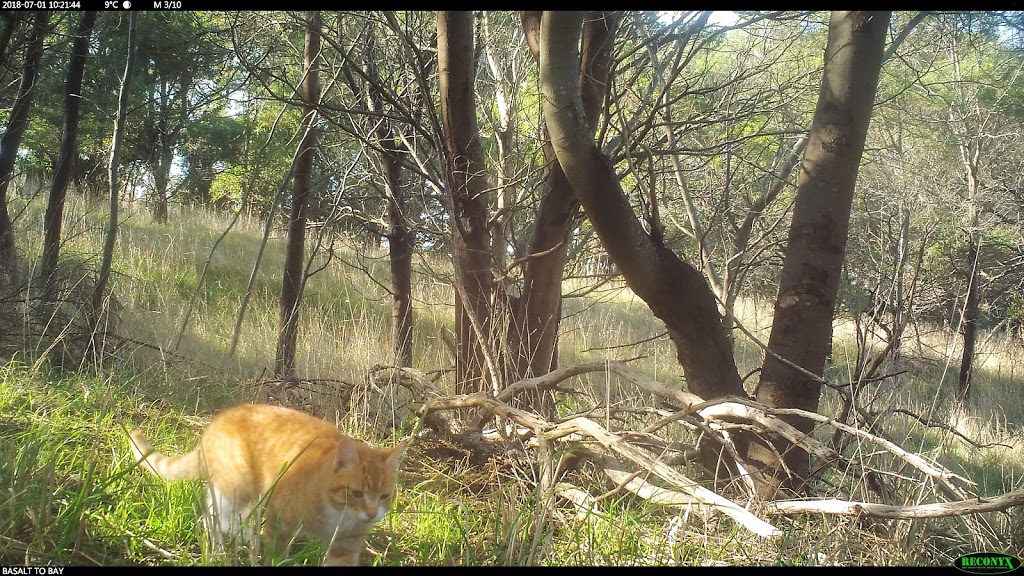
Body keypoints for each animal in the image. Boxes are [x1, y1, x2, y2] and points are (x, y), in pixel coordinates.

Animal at [124, 401, 403, 561]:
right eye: (356, 493)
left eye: (384, 496)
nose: (371, 514)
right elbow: (275, 556)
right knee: (213, 516)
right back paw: (229, 542)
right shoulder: (280, 522)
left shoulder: (345, 548)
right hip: (239, 486)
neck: (337, 515)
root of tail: (214, 423)